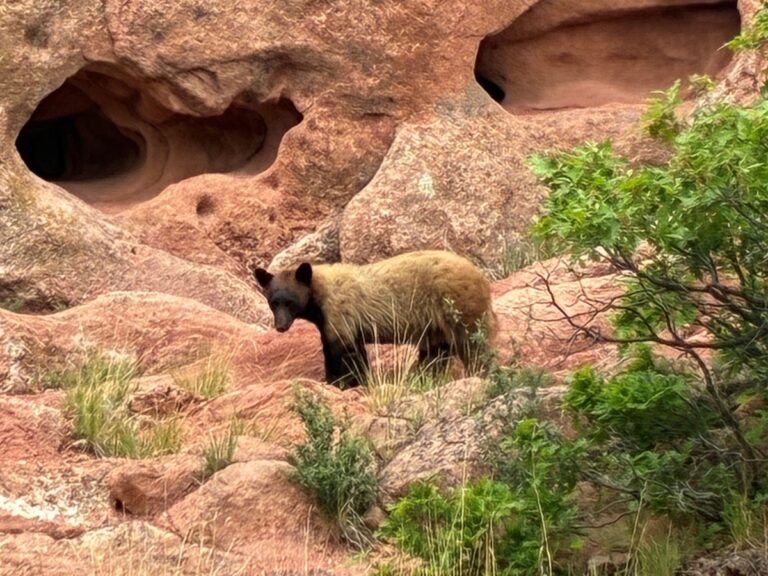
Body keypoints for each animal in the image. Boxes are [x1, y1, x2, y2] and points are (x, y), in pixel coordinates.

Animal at [254, 250, 496, 388]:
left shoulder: (340, 311)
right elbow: (351, 350)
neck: (320, 293)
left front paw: (341, 382)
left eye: (290, 302)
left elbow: (342, 352)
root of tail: (480, 276)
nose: (281, 326)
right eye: (273, 302)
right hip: (436, 324)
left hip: (456, 303)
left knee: (472, 342)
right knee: (436, 352)